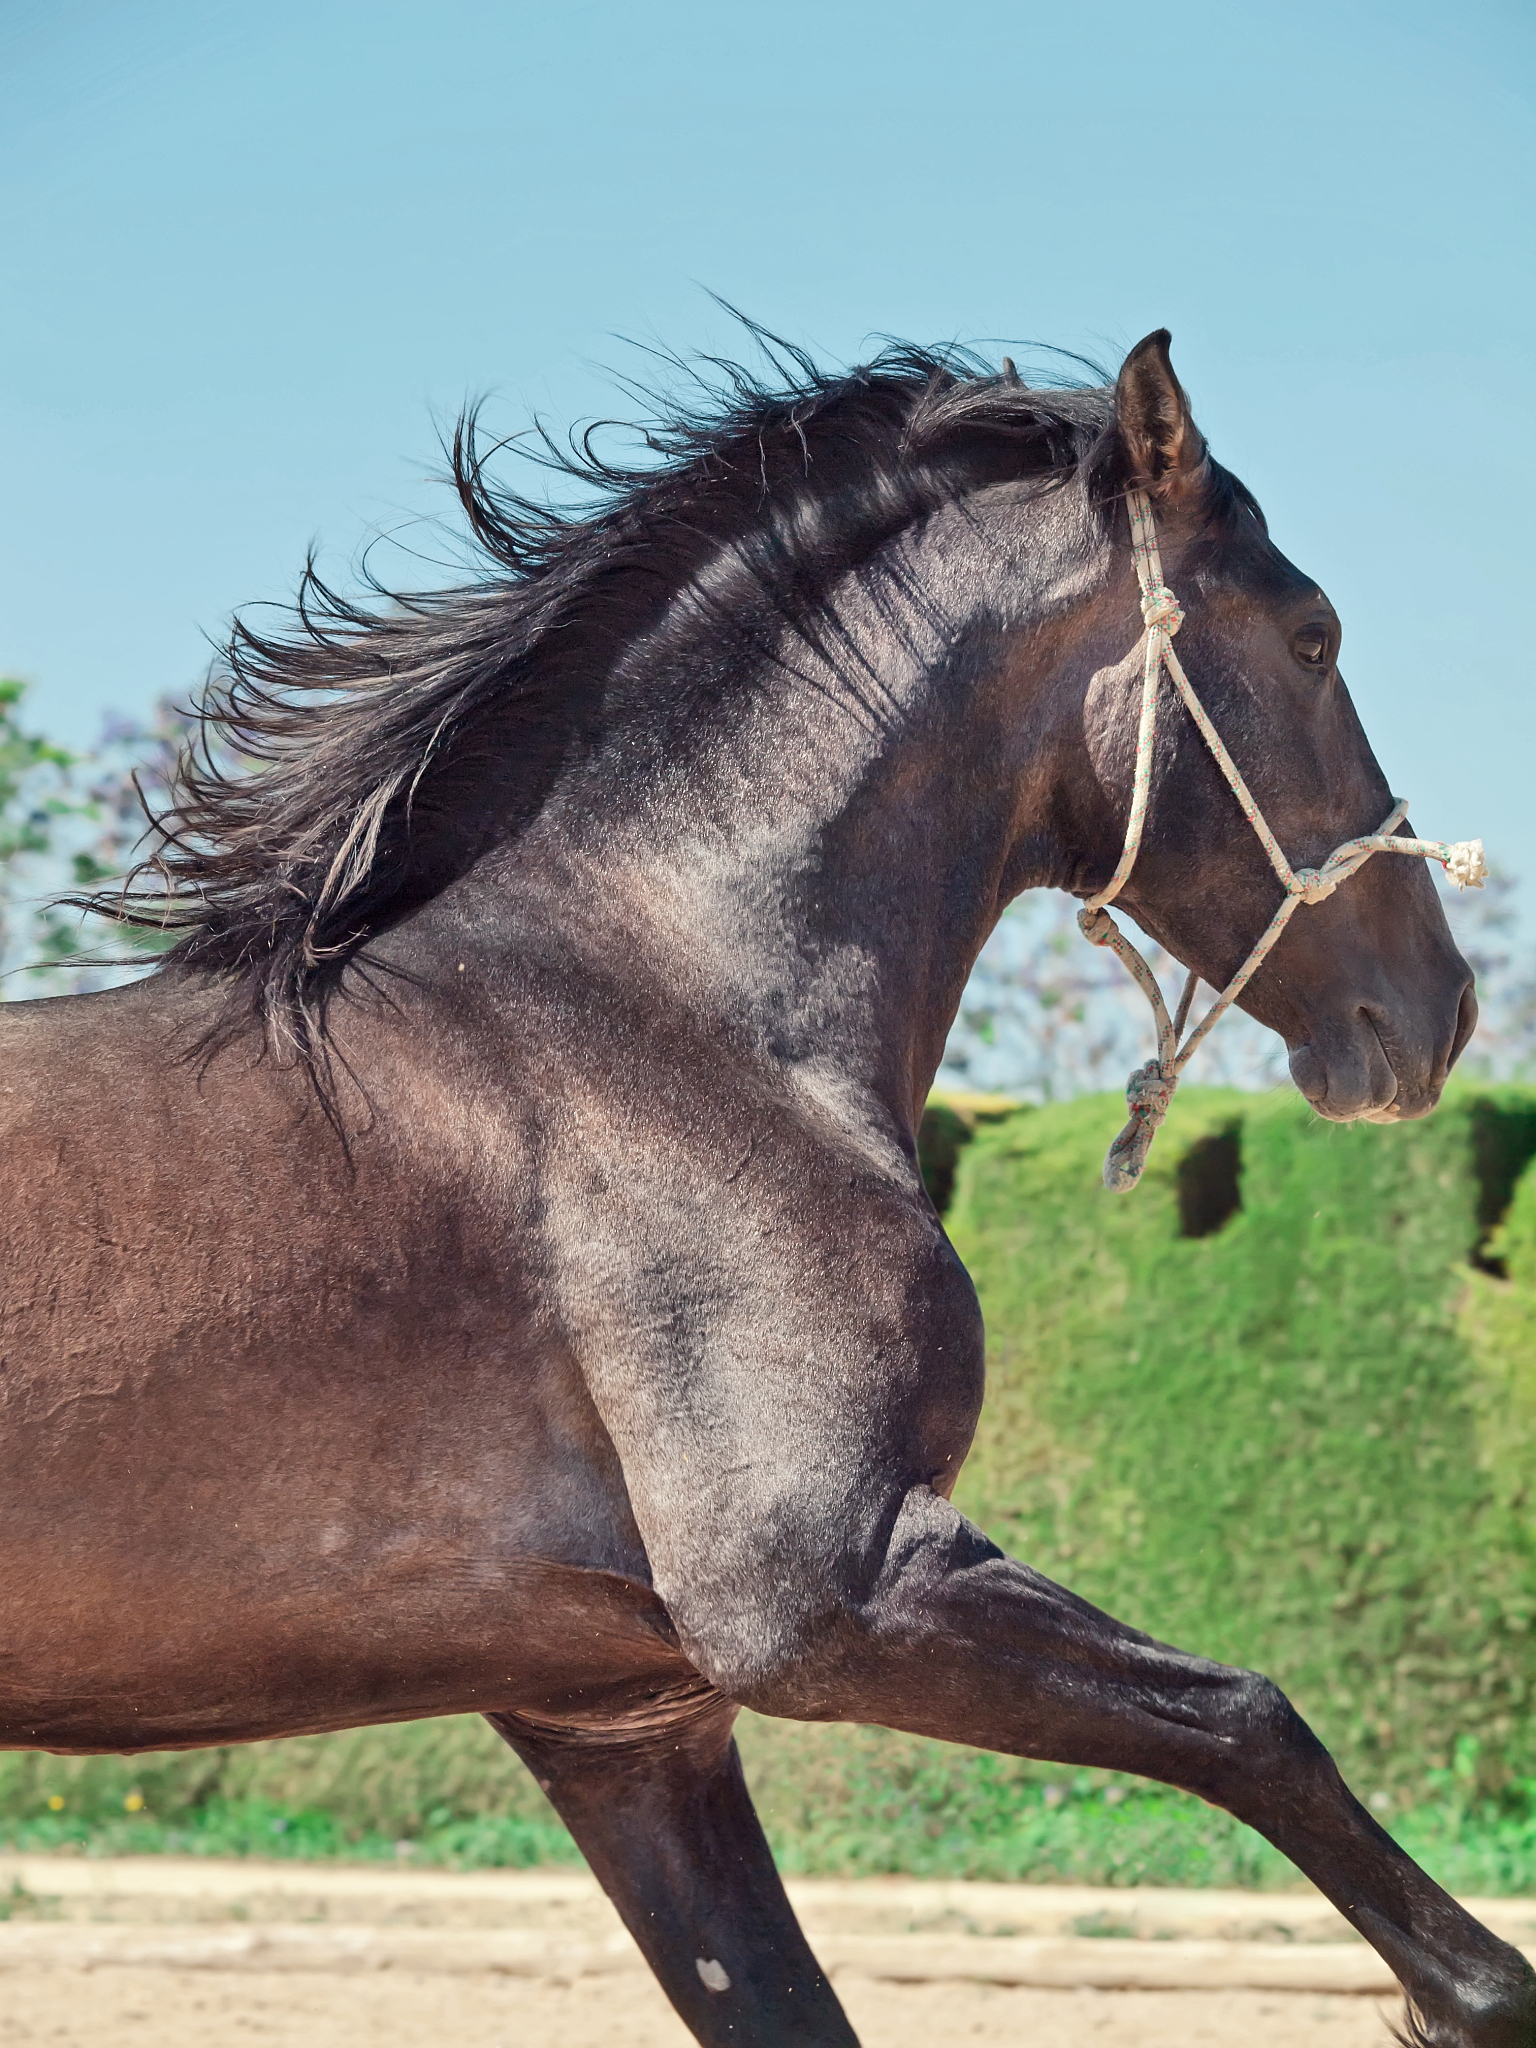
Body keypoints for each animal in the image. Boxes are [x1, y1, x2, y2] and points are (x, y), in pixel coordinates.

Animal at [1, 326, 1527, 2048]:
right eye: (1315, 635)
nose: (1432, 1013)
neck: (684, 1022)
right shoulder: (823, 1594)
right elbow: (1255, 1717)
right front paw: (1469, 1999)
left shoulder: (623, 1719)